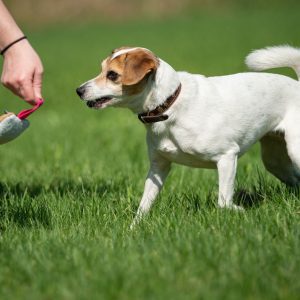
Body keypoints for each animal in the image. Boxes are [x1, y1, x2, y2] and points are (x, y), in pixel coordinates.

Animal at [76, 45, 300, 226]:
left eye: (112, 75)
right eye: (102, 69)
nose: (79, 90)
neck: (169, 105)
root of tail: (297, 85)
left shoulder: (227, 156)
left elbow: (223, 201)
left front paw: (237, 210)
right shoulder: (159, 167)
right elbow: (144, 204)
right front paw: (134, 228)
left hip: (294, 151)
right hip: (274, 160)